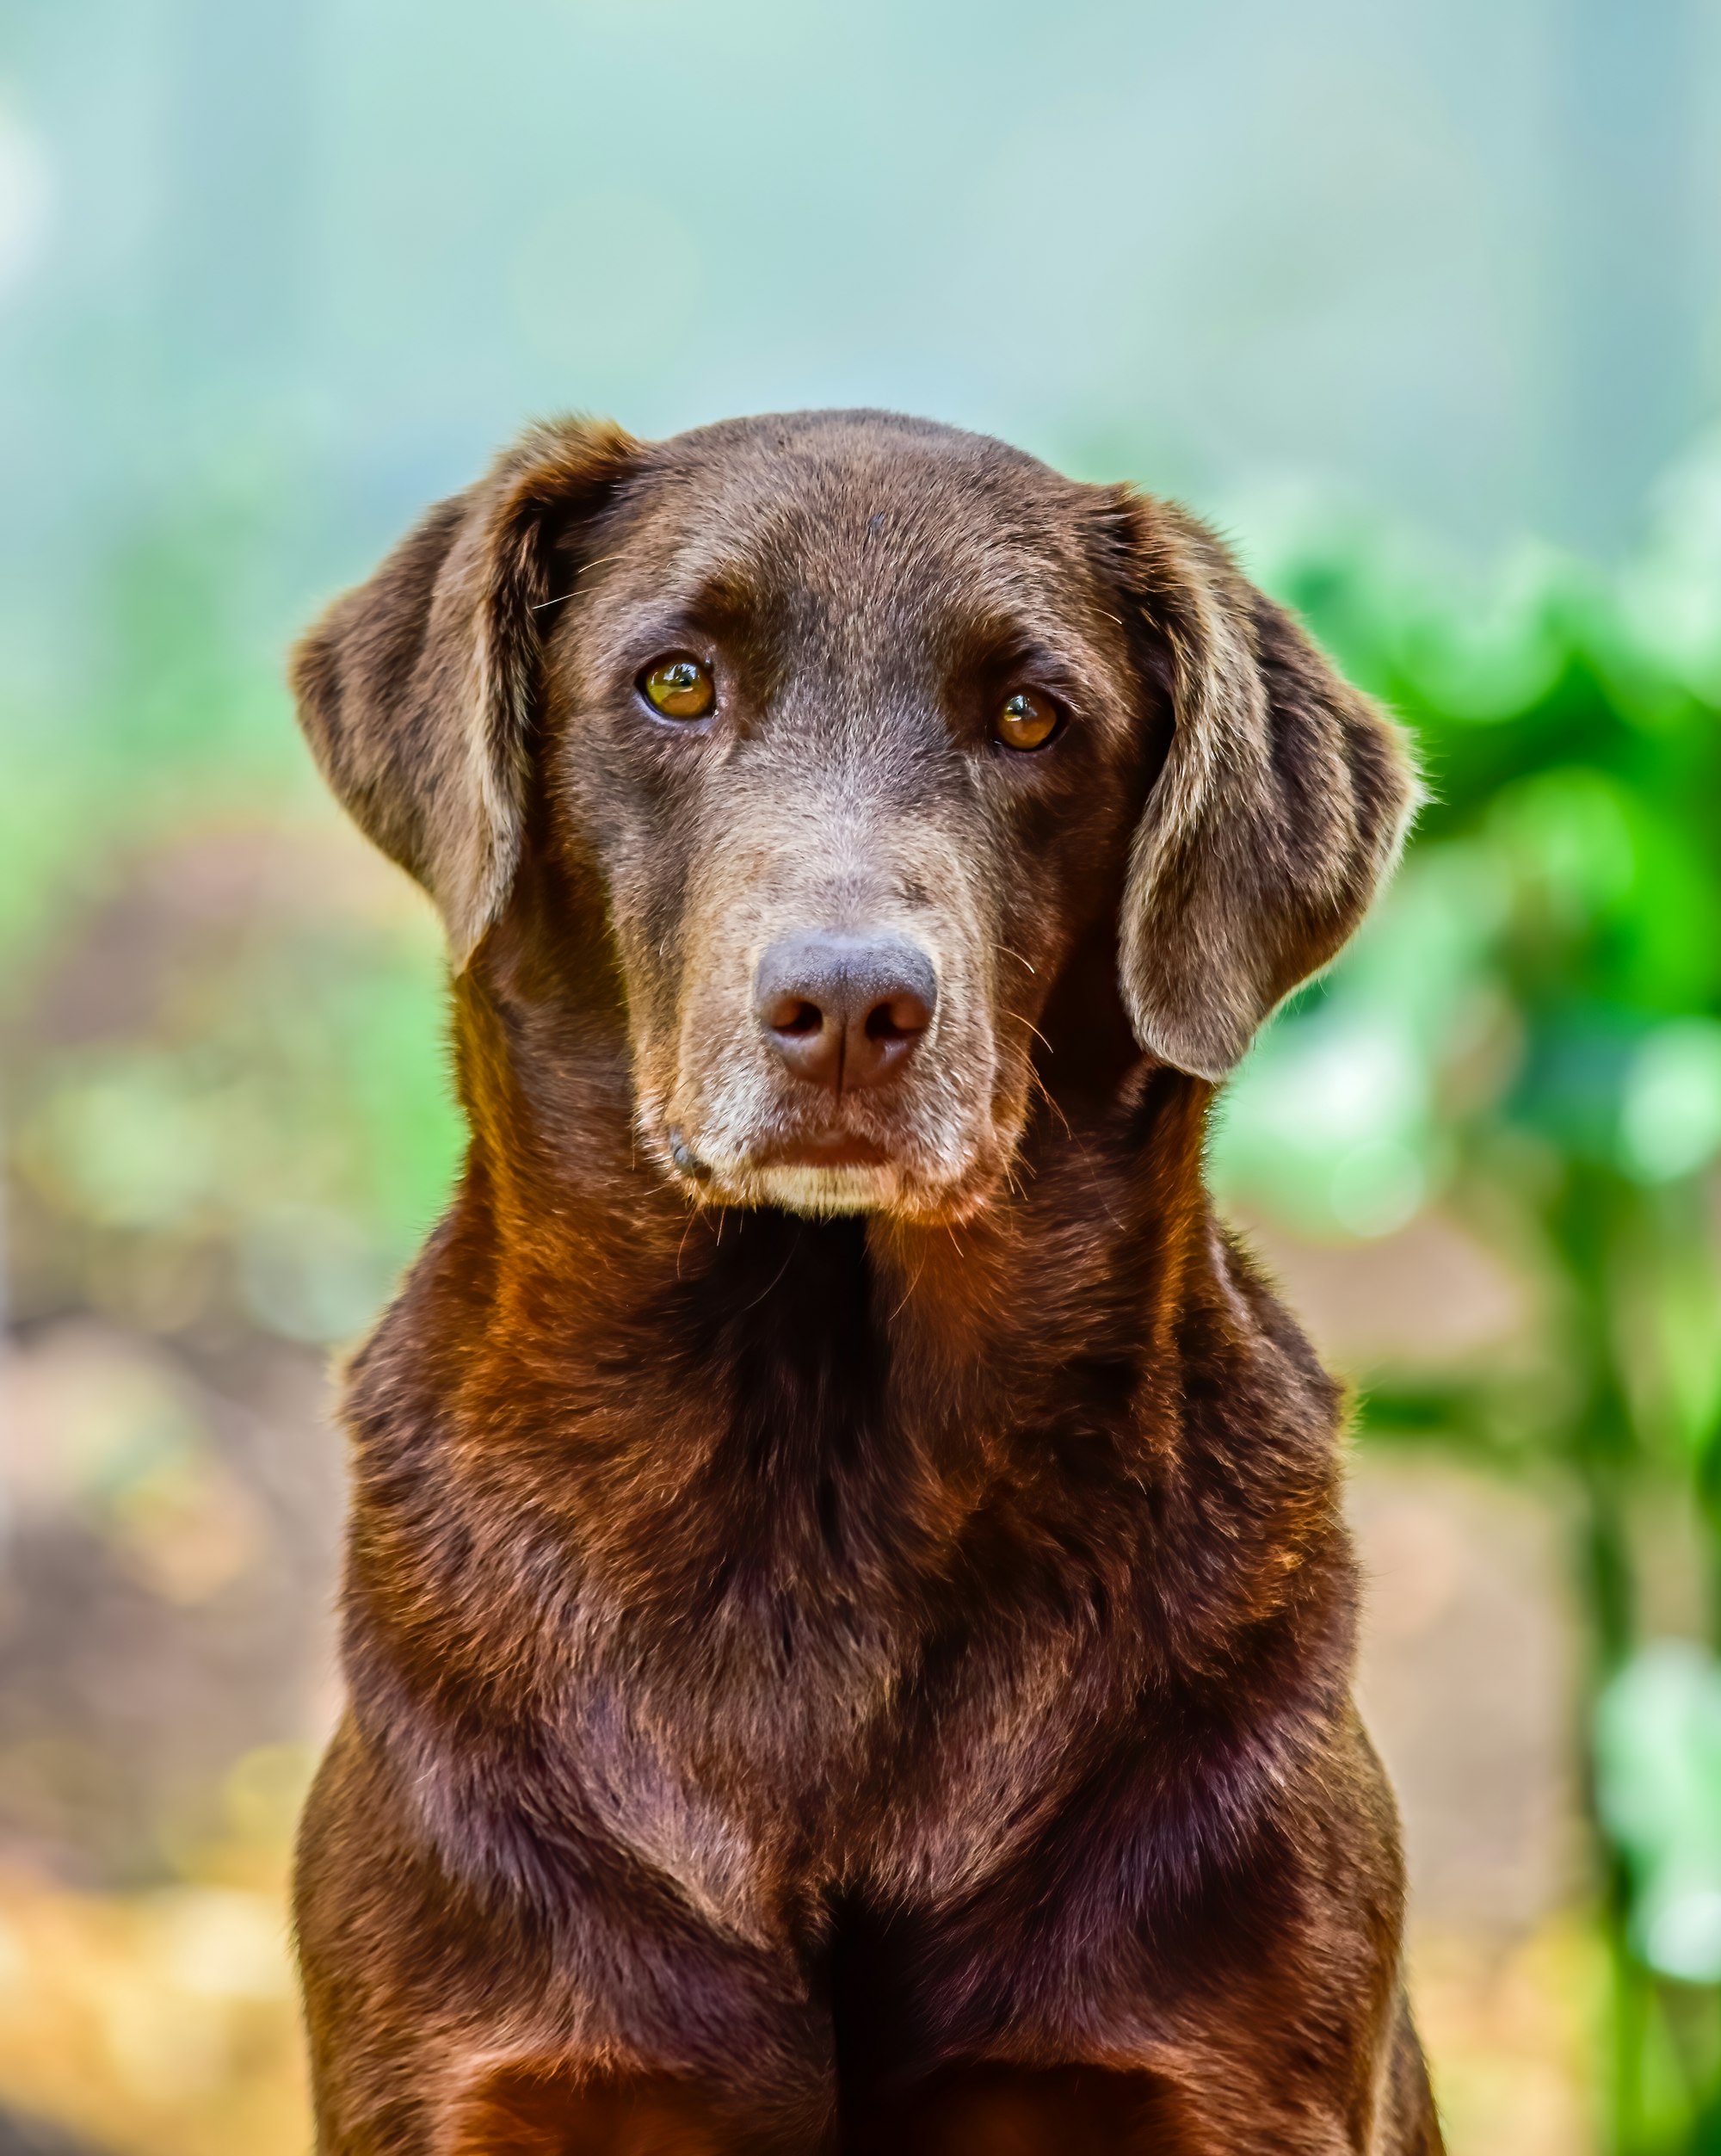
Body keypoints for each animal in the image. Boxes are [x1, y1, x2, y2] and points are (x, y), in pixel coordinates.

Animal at [293, 411, 1440, 2147]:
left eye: (1032, 716)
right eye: (676, 683)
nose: (848, 1004)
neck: (814, 1489)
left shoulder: (1220, 2079)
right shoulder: (478, 2072)